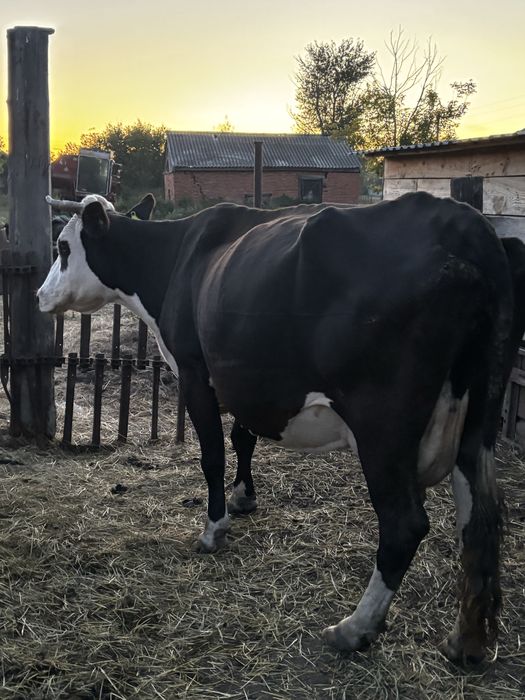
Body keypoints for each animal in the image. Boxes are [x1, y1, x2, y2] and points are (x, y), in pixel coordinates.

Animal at [37, 191, 525, 664]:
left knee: (405, 523)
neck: (177, 258)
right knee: (478, 519)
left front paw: (213, 529)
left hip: (382, 423)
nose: (41, 295)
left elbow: (213, 455)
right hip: (478, 417)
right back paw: (466, 640)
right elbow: (243, 437)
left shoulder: (196, 372)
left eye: (62, 247)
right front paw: (243, 497)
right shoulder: (242, 376)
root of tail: (466, 223)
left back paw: (354, 628)